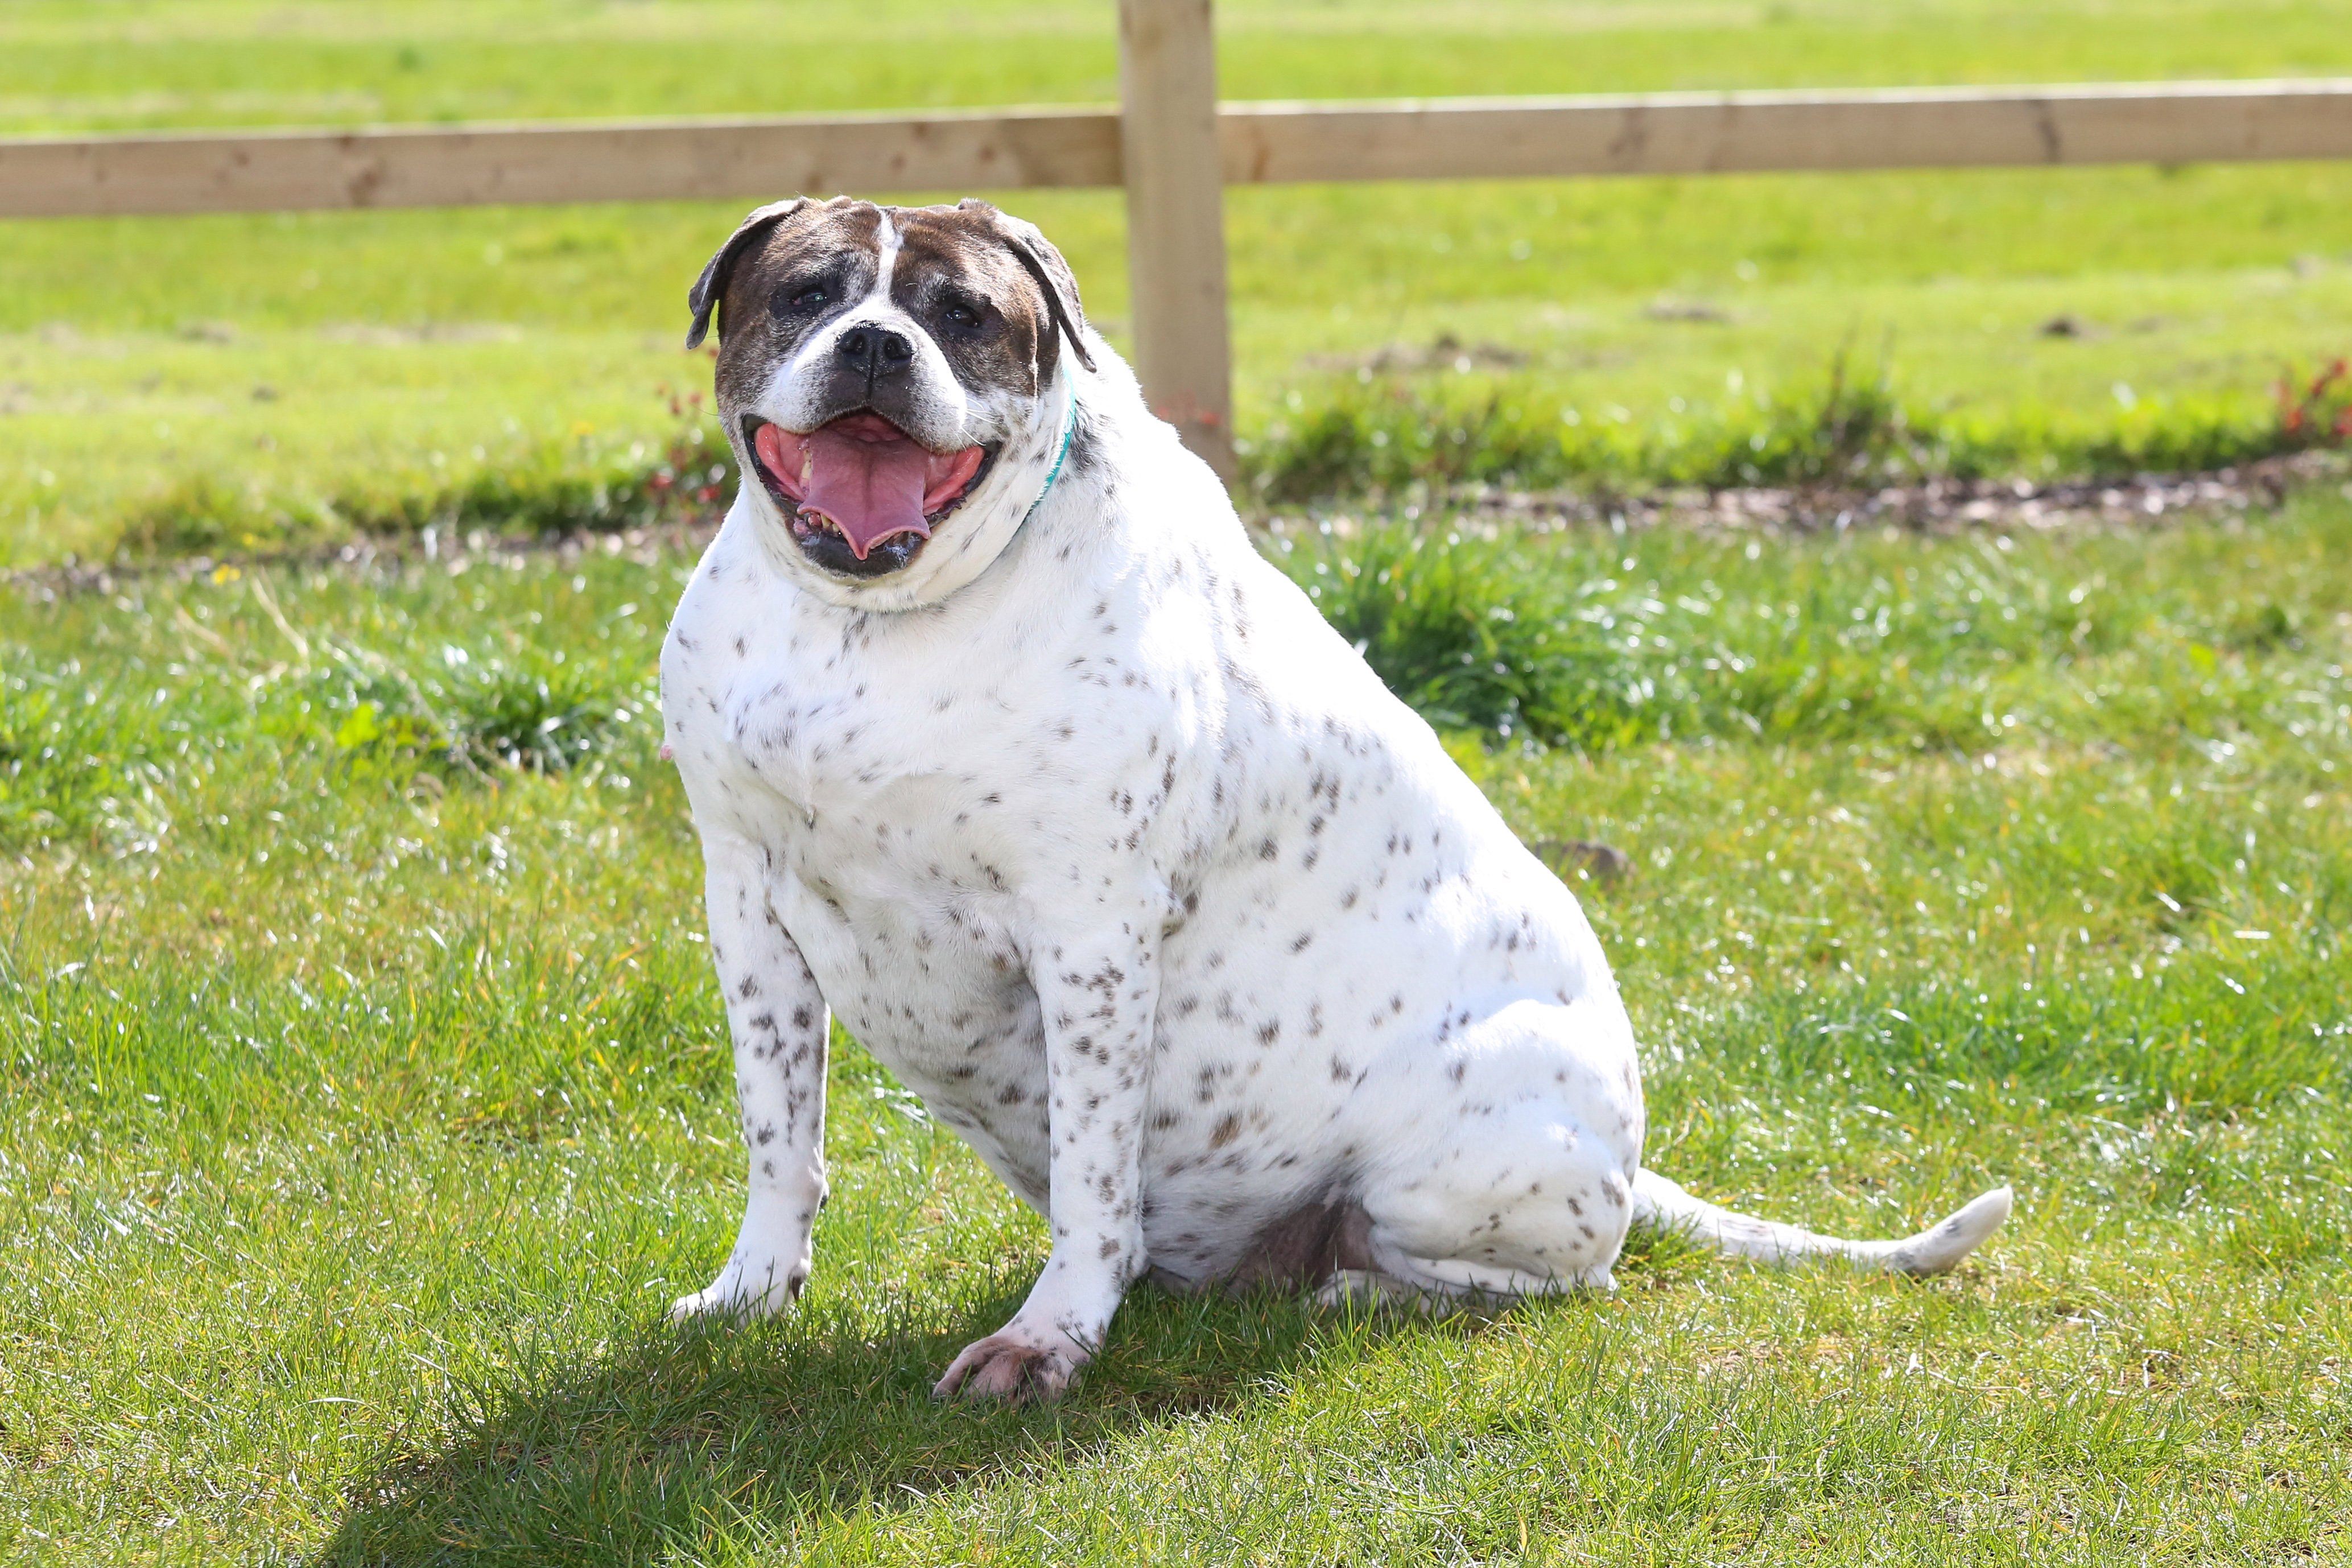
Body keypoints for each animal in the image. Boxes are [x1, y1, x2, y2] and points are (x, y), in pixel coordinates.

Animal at [658, 196, 2004, 1401]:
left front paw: (1049, 1340)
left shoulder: (1090, 940)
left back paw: (1360, 1290)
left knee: (1553, 1277)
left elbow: (1095, 1178)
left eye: (962, 314)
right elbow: (780, 1135)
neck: (873, 629)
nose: (877, 346)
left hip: (1465, 1151)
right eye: (809, 294)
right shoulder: (747, 907)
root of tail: (1636, 1167)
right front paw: (753, 1290)